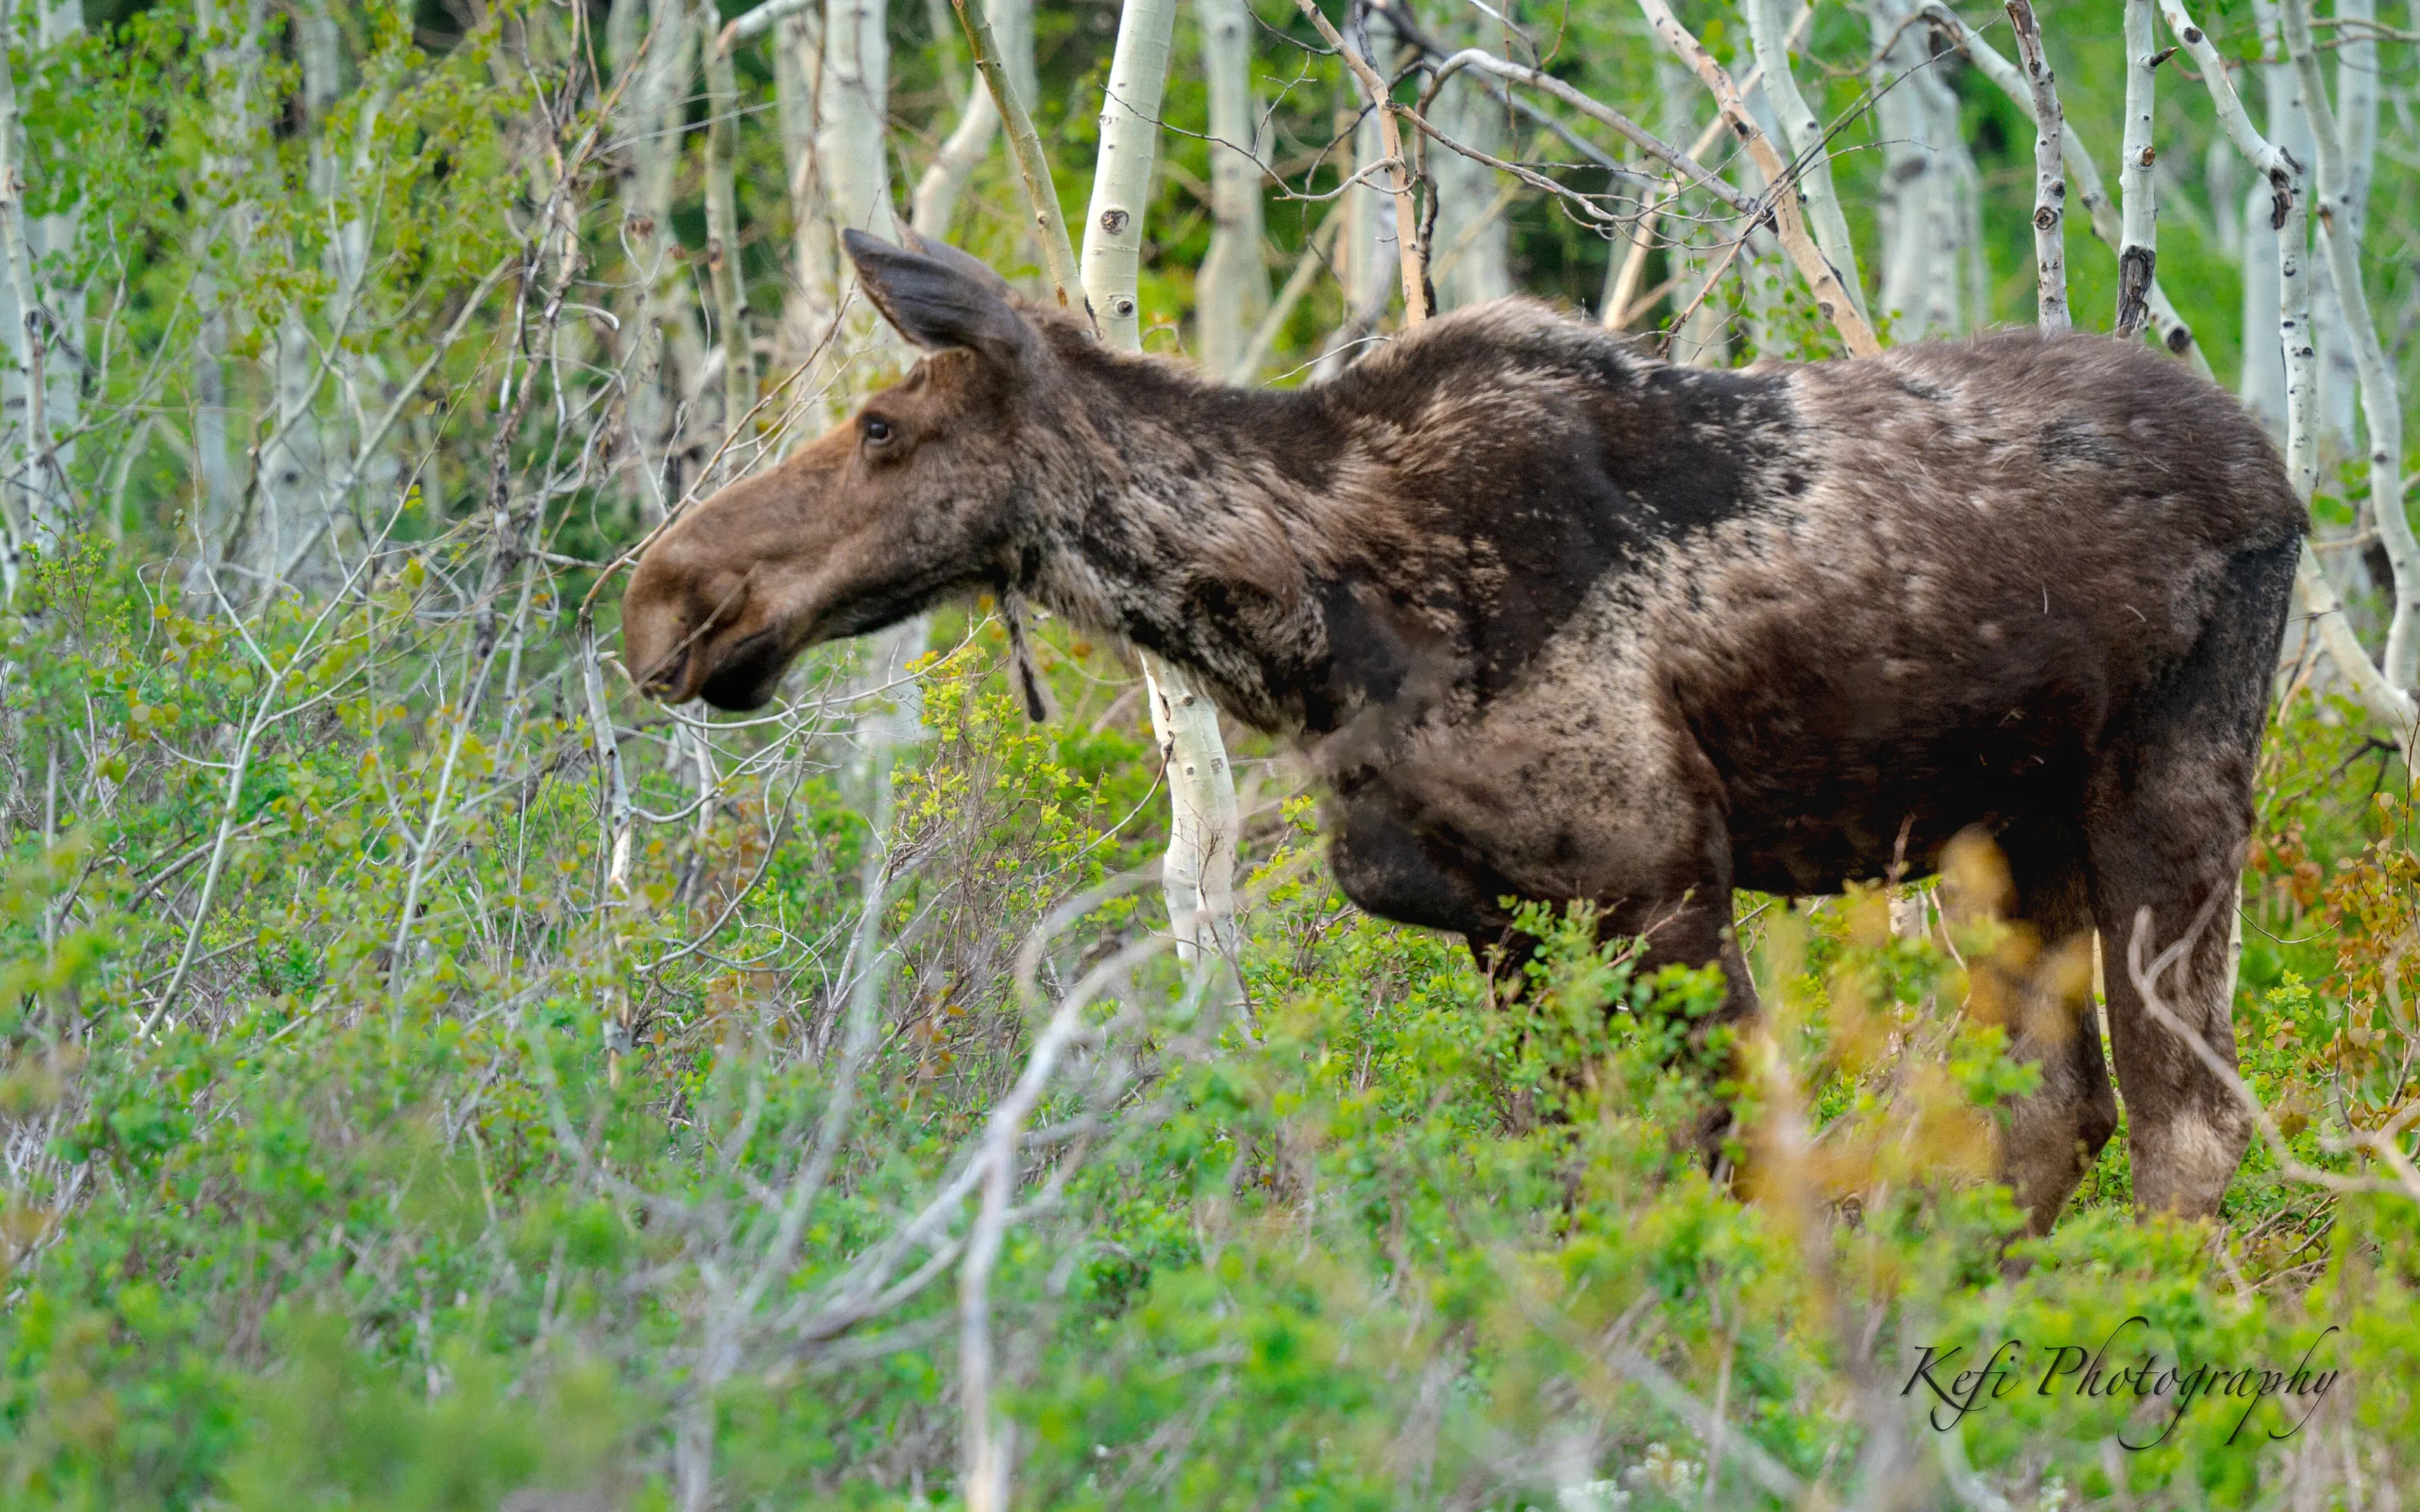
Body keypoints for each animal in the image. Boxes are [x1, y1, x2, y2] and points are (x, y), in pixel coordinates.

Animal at [621, 229, 2305, 1234]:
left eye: (882, 428)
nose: (664, 597)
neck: (1305, 619)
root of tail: (2282, 474)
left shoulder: (1657, 878)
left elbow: (1725, 1174)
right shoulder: (1502, 918)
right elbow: (1587, 1177)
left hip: (2170, 781)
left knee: (2192, 1124)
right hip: (2008, 826)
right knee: (2060, 1114)